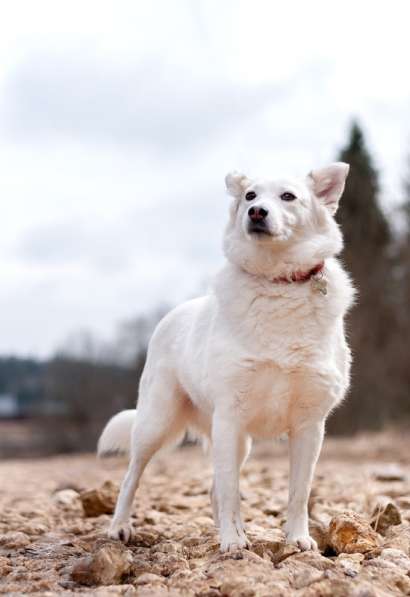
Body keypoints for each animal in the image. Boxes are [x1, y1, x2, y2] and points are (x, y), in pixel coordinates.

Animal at [97, 162, 354, 548]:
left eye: (288, 196)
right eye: (250, 195)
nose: (256, 212)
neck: (277, 282)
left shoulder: (309, 427)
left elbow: (299, 491)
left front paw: (297, 538)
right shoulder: (230, 416)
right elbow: (232, 490)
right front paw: (233, 542)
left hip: (236, 441)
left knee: (214, 489)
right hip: (156, 423)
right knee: (132, 476)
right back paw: (120, 526)